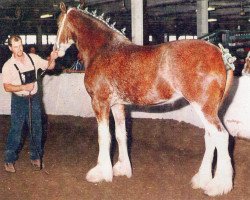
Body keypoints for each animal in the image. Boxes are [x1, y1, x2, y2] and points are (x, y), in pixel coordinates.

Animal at [53, 2, 235, 197]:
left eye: (58, 24)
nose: (55, 50)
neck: (103, 49)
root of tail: (220, 54)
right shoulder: (117, 105)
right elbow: (120, 134)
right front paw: (122, 168)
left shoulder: (99, 102)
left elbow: (104, 136)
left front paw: (101, 172)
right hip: (207, 109)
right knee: (210, 137)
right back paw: (202, 180)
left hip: (203, 107)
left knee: (221, 136)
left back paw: (218, 186)